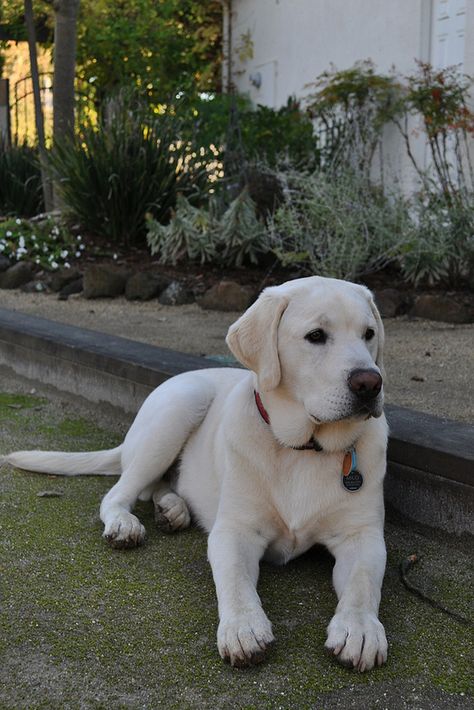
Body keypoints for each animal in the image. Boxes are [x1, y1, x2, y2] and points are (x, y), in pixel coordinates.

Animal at [2, 276, 388, 672]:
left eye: (369, 334)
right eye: (316, 335)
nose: (370, 383)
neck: (304, 447)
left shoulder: (363, 536)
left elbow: (362, 583)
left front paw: (359, 629)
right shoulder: (234, 531)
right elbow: (235, 581)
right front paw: (243, 627)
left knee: (157, 485)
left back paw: (172, 508)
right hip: (182, 405)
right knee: (119, 492)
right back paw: (126, 523)